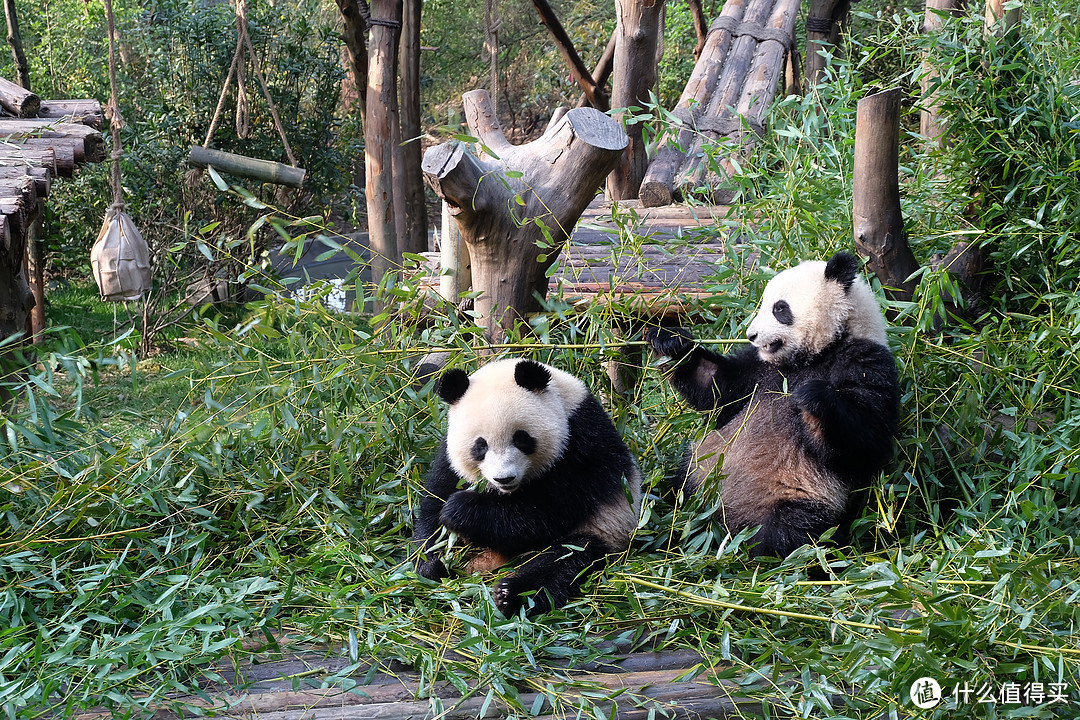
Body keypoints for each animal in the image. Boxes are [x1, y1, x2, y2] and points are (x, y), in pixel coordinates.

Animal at [412, 358, 639, 617]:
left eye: (521, 438)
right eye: (480, 446)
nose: (504, 478)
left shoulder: (581, 447)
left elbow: (545, 514)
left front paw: (461, 510)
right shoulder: (448, 458)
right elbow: (435, 503)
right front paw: (430, 565)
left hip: (603, 528)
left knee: (563, 562)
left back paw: (510, 594)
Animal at [648, 250, 902, 561]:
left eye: (780, 308)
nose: (751, 335)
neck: (815, 355)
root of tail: (726, 519)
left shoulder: (866, 361)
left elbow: (864, 440)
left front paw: (813, 396)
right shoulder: (758, 371)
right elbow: (717, 388)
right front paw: (670, 341)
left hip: (798, 492)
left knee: (793, 534)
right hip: (699, 468)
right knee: (674, 488)